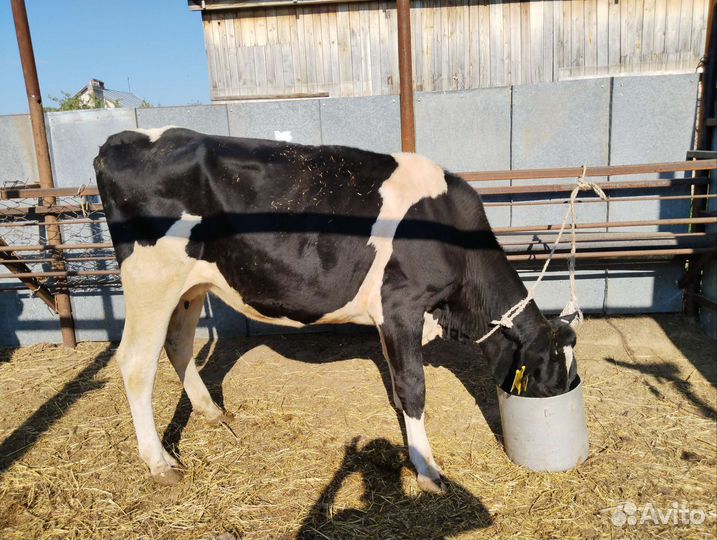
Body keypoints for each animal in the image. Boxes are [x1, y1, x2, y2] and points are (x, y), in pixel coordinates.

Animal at [93, 127, 578, 493]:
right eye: (552, 380)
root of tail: (120, 140)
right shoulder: (401, 303)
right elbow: (413, 388)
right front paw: (426, 468)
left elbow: (400, 385)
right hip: (150, 276)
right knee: (136, 361)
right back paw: (160, 462)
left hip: (191, 284)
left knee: (177, 342)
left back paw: (212, 412)